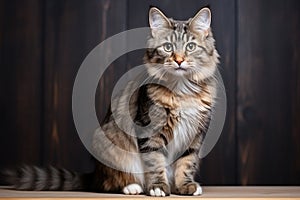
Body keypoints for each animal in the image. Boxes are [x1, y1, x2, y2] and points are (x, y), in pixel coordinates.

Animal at [3, 6, 219, 197]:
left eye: (190, 47)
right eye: (168, 47)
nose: (179, 60)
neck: (182, 92)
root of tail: (94, 174)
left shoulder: (195, 134)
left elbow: (186, 163)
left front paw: (185, 186)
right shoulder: (150, 131)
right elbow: (155, 162)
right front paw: (158, 187)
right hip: (110, 147)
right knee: (108, 183)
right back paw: (132, 187)